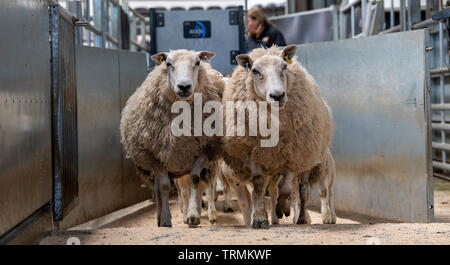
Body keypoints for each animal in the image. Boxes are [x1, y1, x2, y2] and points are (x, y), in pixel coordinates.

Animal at [120, 49, 224, 227]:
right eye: (168, 63)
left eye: (197, 62)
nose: (184, 86)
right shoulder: (157, 155)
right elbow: (164, 187)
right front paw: (166, 219)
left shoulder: (202, 151)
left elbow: (194, 179)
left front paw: (193, 215)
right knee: (157, 189)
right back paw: (159, 216)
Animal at [222, 44, 338, 228]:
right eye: (255, 71)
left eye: (284, 67)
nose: (277, 96)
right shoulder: (253, 153)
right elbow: (259, 187)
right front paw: (260, 218)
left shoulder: (293, 154)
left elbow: (286, 188)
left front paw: (282, 208)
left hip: (306, 161)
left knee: (302, 190)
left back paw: (301, 217)